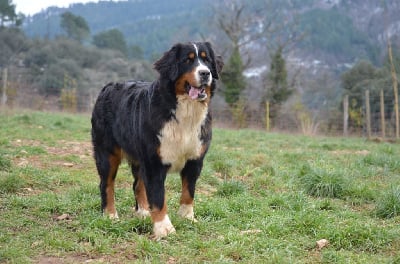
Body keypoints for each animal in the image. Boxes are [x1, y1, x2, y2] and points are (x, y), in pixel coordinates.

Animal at [91, 41, 223, 239]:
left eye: (206, 60)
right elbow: (159, 197)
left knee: (137, 185)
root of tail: (107, 87)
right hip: (107, 153)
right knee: (106, 184)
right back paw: (110, 215)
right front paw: (164, 228)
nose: (205, 73)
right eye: (187, 60)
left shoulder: (194, 160)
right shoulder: (154, 163)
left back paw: (144, 212)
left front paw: (187, 217)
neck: (185, 112)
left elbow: (188, 192)